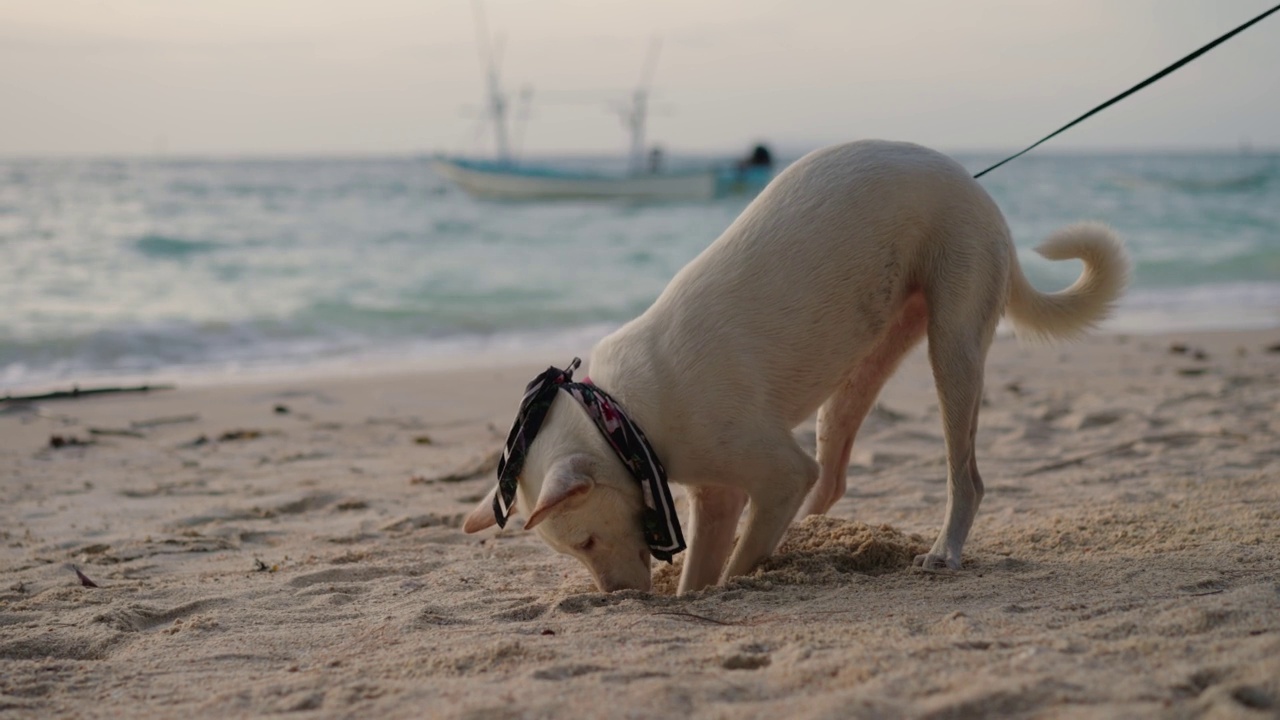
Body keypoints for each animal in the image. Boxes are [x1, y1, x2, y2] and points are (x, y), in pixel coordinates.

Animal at [465, 140, 1126, 594]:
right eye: (575, 551)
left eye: (586, 539)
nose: (619, 598)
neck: (622, 418)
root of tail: (975, 185)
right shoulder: (718, 495)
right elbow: (704, 568)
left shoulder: (778, 472)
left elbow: (738, 560)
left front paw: (741, 579)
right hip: (861, 369)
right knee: (832, 480)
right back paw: (815, 537)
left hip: (954, 348)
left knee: (965, 476)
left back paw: (943, 551)